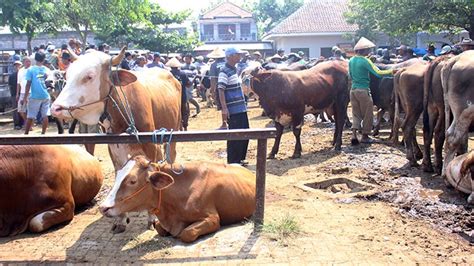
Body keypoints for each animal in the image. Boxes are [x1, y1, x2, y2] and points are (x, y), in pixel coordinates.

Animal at [50, 47, 181, 233]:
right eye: (67, 75)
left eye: (89, 76)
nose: (56, 108)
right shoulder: (114, 147)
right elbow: (120, 171)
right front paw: (120, 219)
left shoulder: (151, 145)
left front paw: (153, 217)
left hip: (175, 129)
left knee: (172, 155)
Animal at [98, 154, 258, 243]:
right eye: (118, 175)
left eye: (132, 181)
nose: (103, 207)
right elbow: (159, 228)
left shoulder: (212, 218)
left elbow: (187, 233)